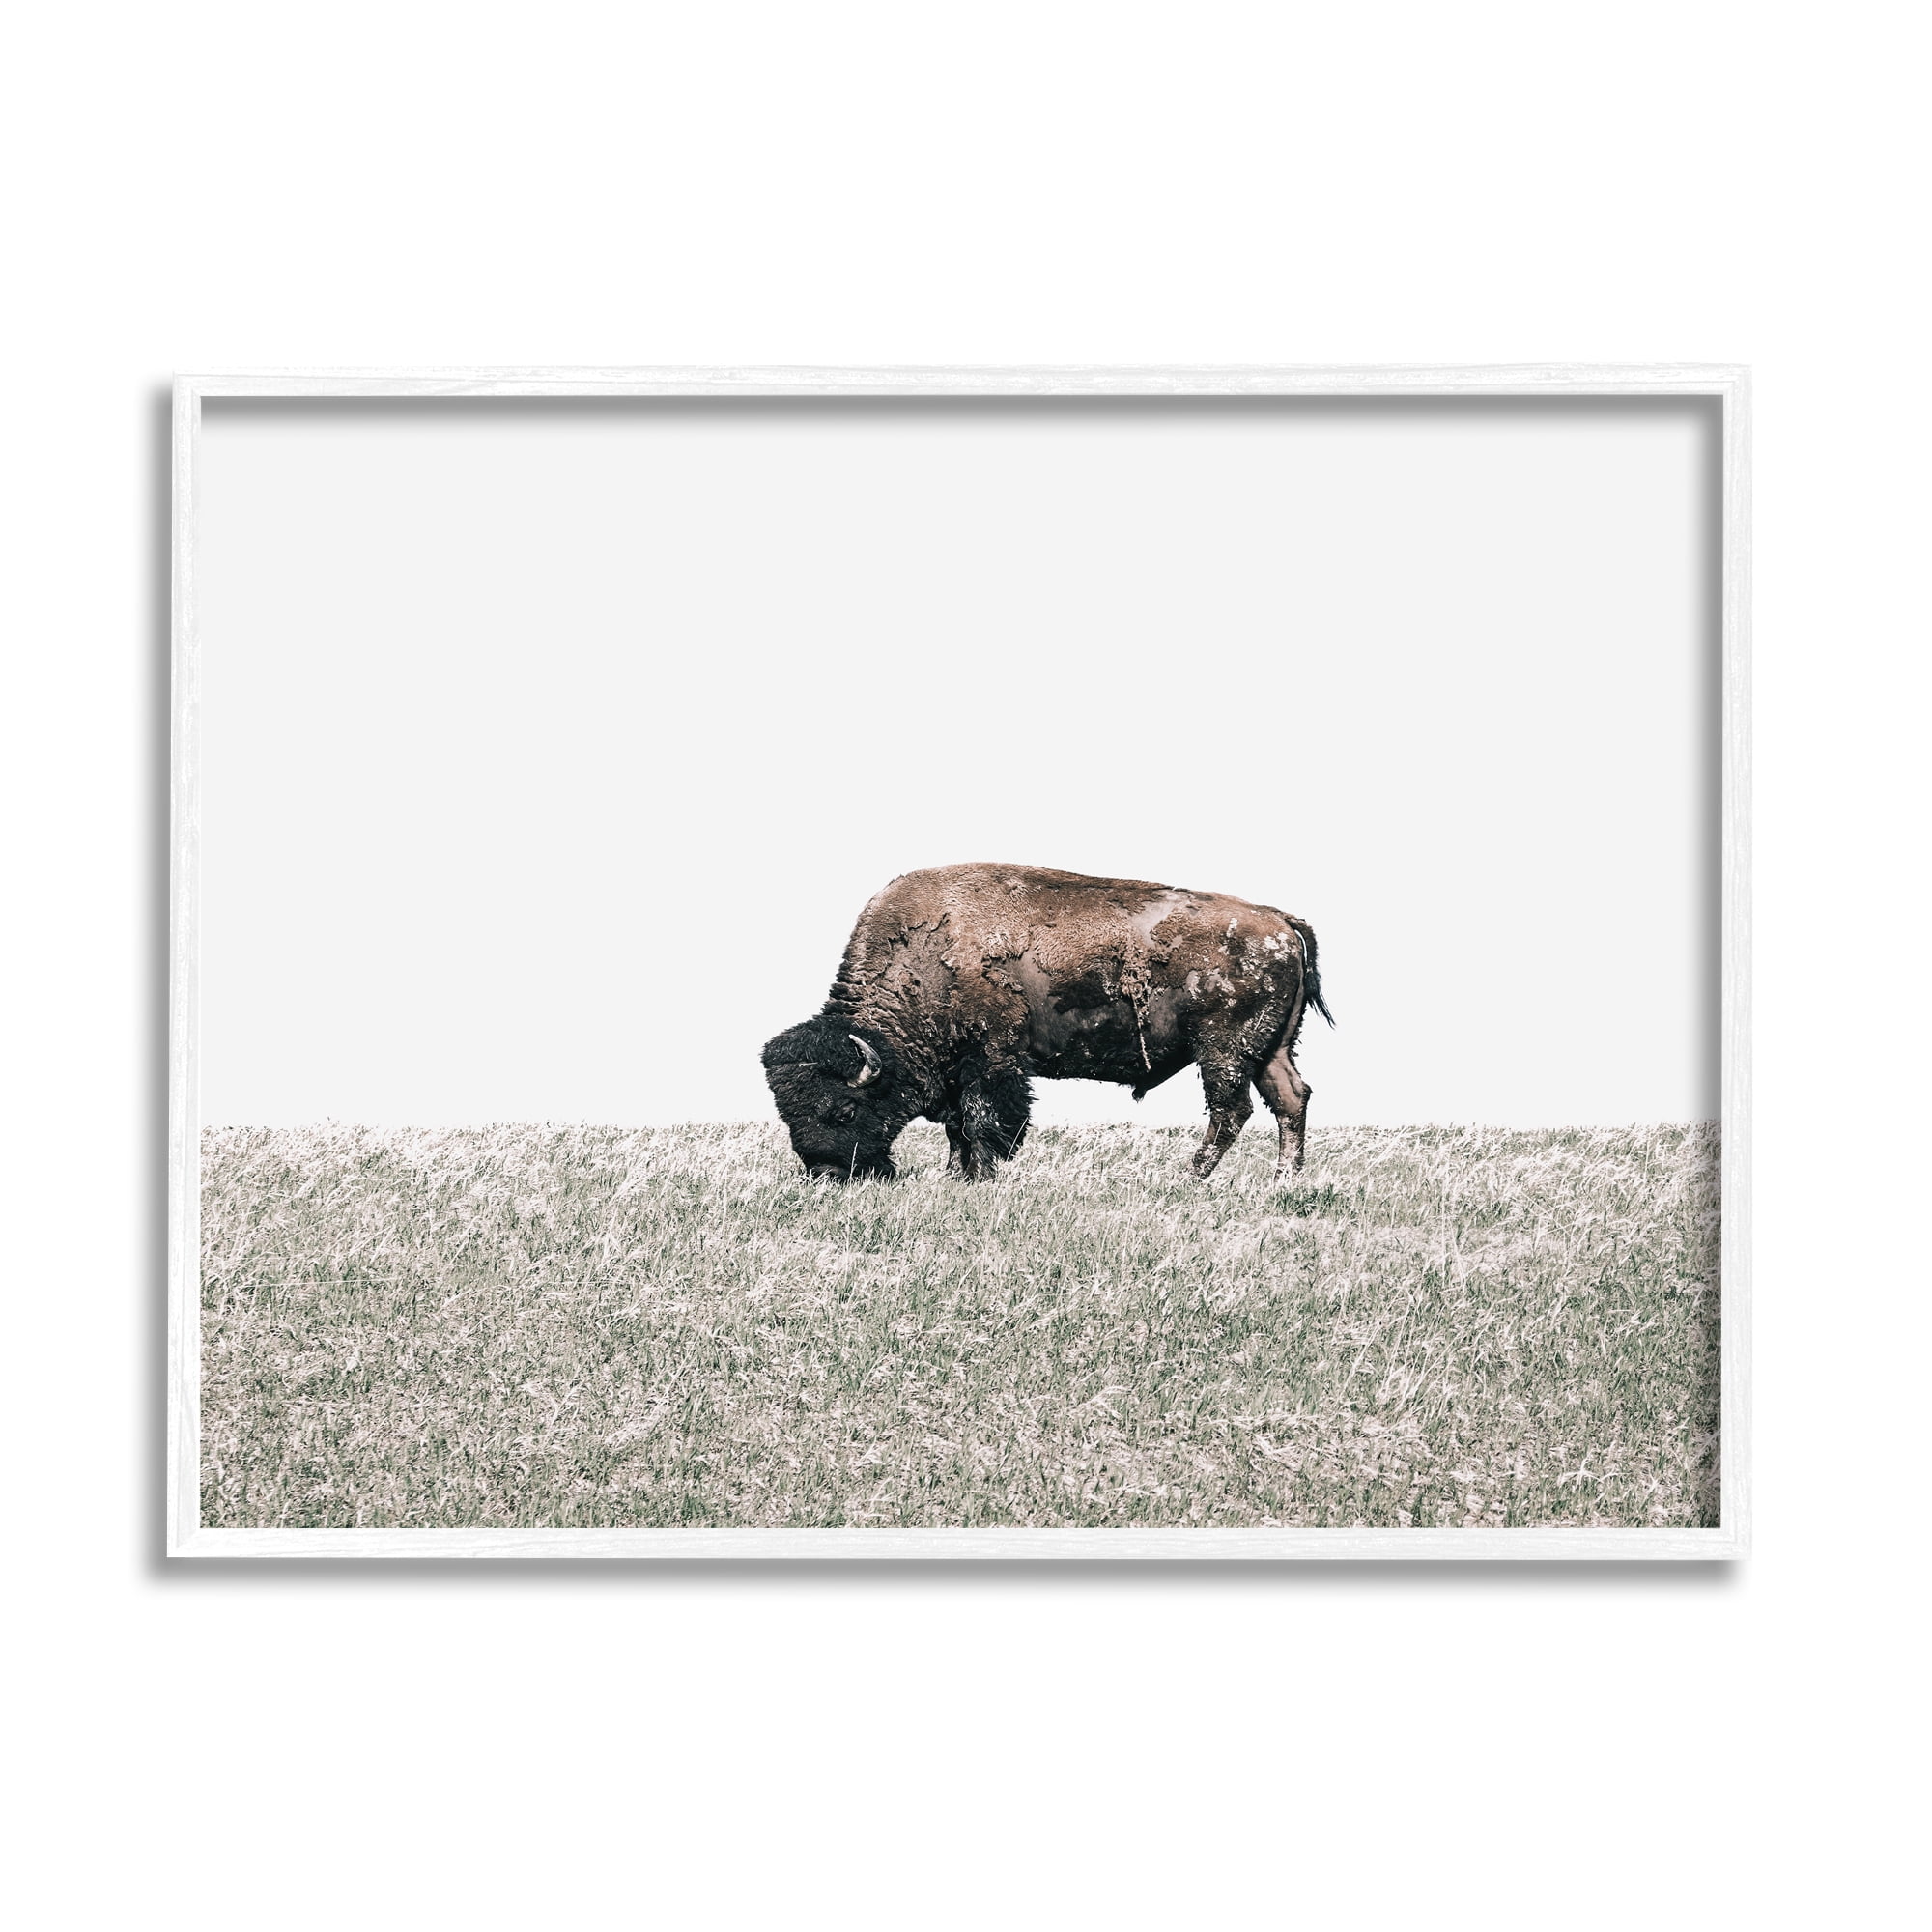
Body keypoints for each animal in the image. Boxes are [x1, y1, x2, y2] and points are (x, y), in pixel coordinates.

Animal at [761, 863, 1332, 1183]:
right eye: (787, 1113)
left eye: (842, 1109)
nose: (826, 1175)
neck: (926, 955)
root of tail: (1279, 920)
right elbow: (956, 1126)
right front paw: (956, 1175)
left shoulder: (992, 1060)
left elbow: (982, 1120)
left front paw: (981, 1176)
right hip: (1271, 1049)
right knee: (1290, 1099)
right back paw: (1283, 1181)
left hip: (1224, 1050)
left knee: (1231, 1110)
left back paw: (1188, 1178)